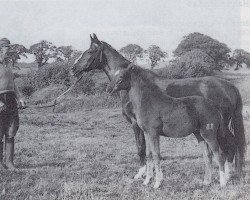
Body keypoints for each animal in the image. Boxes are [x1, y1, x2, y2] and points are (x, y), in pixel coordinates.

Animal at [107, 65, 236, 188]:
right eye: (114, 75)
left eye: (121, 76)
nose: (109, 89)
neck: (148, 102)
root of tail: (214, 107)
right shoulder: (147, 133)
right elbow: (149, 154)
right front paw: (147, 181)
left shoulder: (153, 133)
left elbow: (156, 155)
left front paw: (157, 183)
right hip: (200, 135)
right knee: (208, 156)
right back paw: (206, 182)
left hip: (209, 135)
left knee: (219, 155)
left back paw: (223, 182)